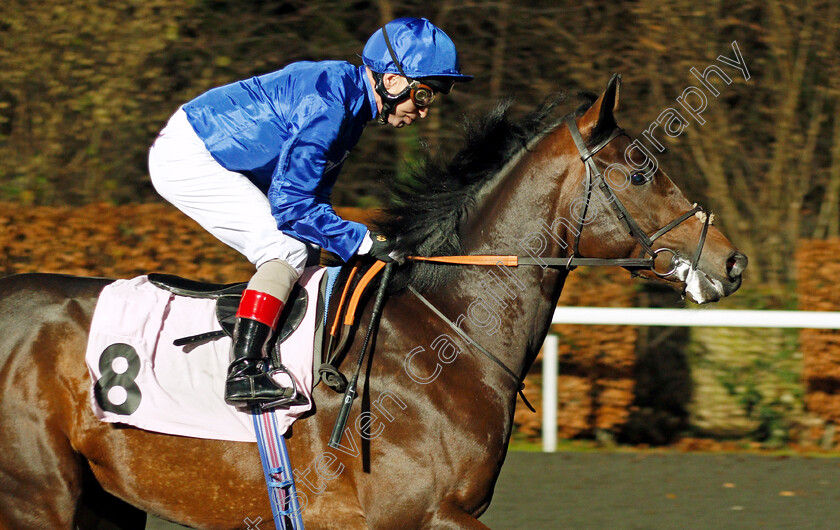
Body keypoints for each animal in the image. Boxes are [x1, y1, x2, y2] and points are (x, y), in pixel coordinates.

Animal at [0, 75, 748, 528]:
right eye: (641, 170)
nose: (730, 262)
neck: (440, 342)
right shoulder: (416, 514)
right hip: (41, 498)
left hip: (105, 500)